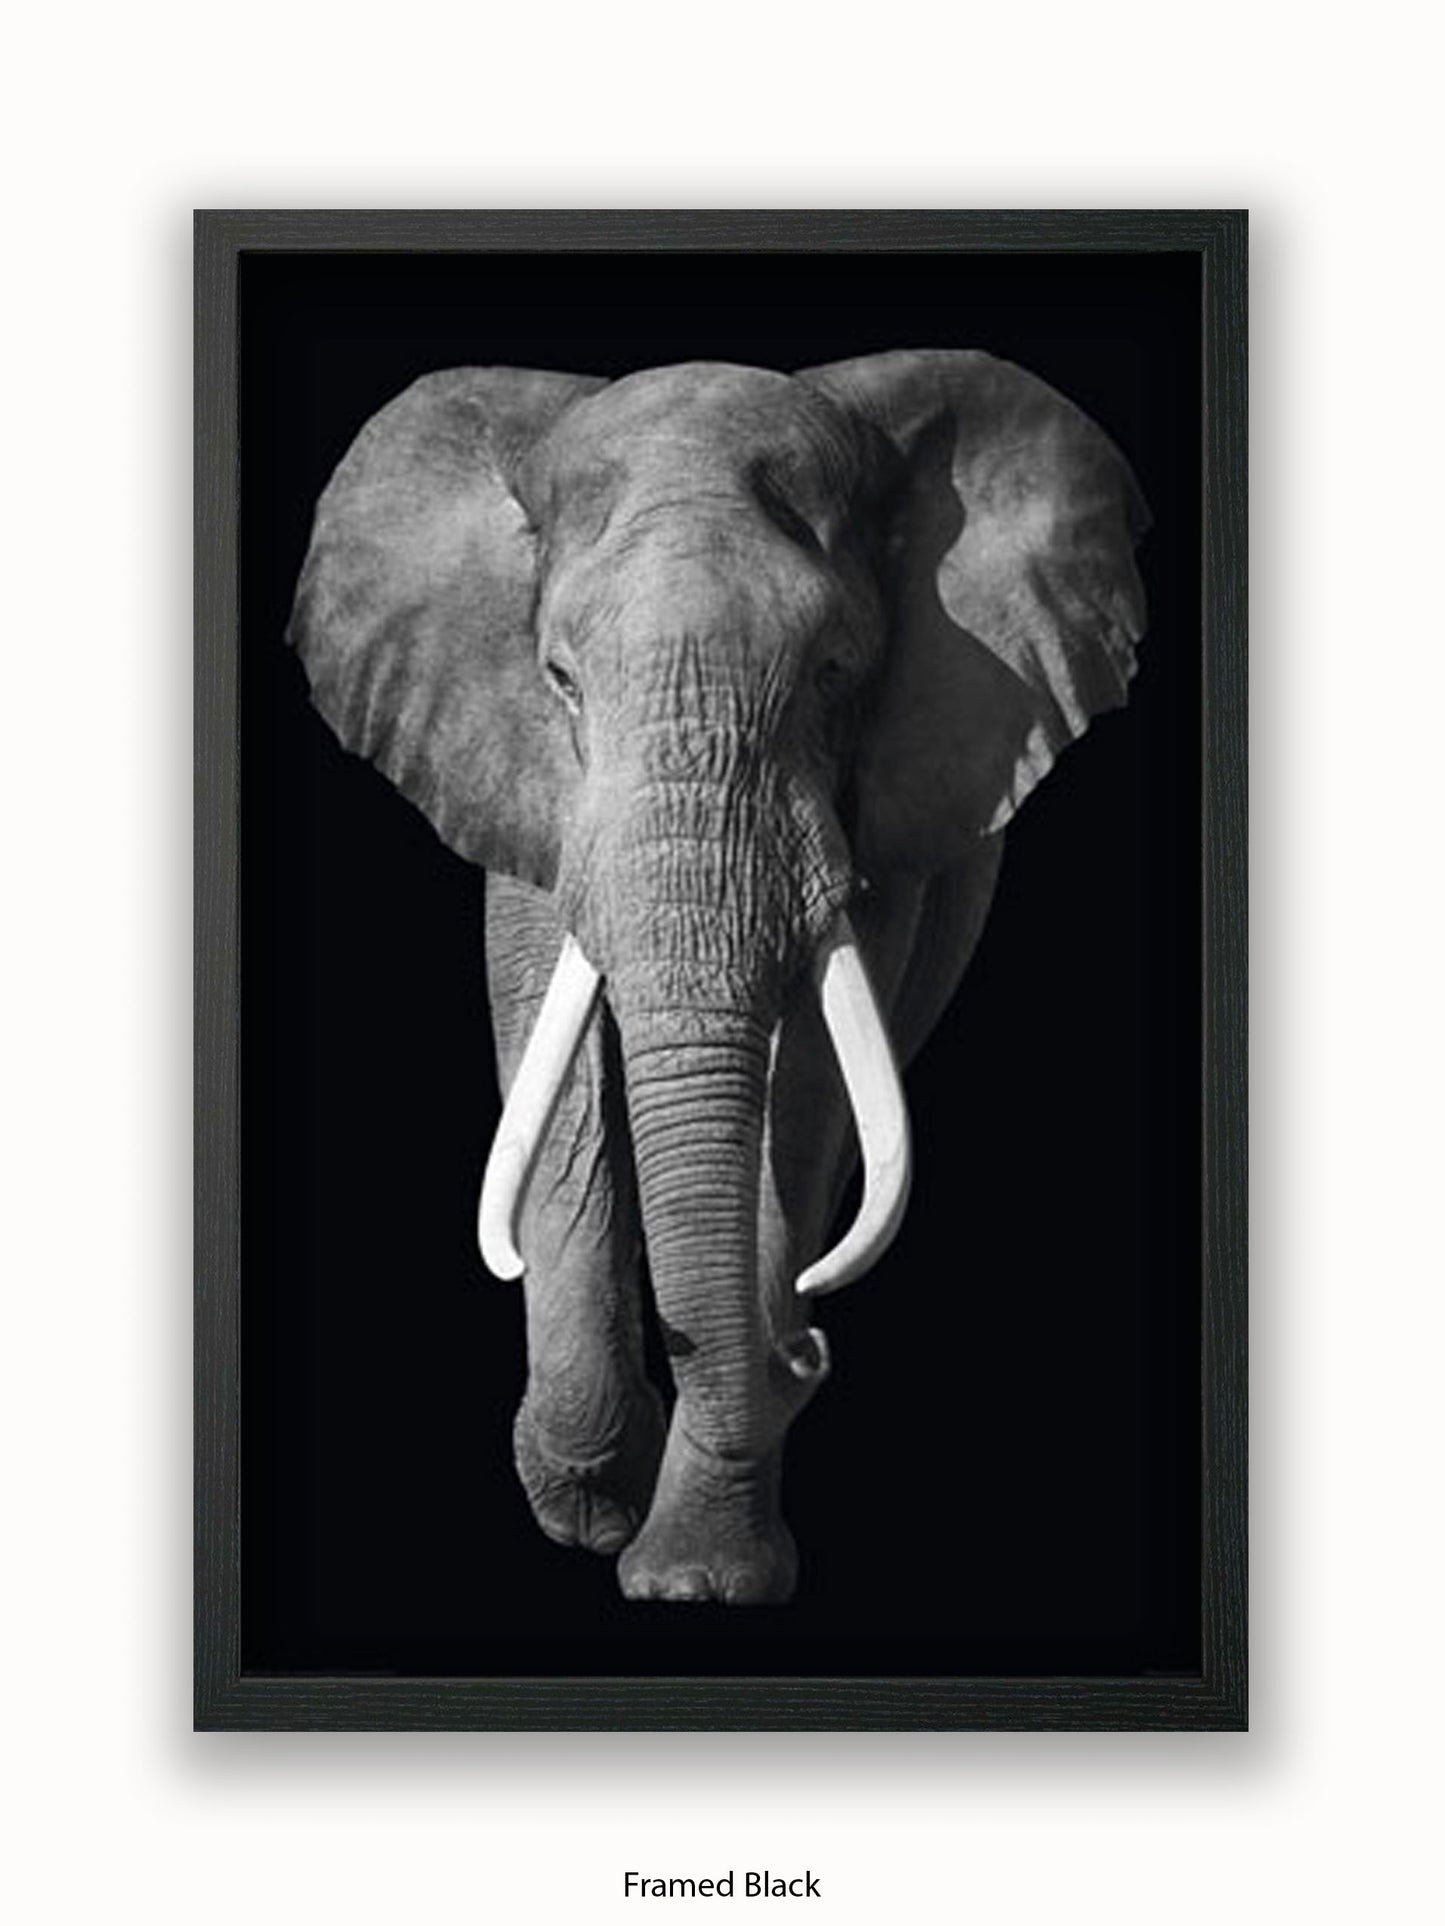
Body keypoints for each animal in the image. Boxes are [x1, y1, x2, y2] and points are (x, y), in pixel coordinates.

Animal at [287, 350, 1148, 1605]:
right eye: (559, 678)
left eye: (836, 671)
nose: (806, 1349)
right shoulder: (521, 776)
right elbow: (559, 1064)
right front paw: (592, 1502)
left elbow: (804, 1090)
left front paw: (695, 1576)